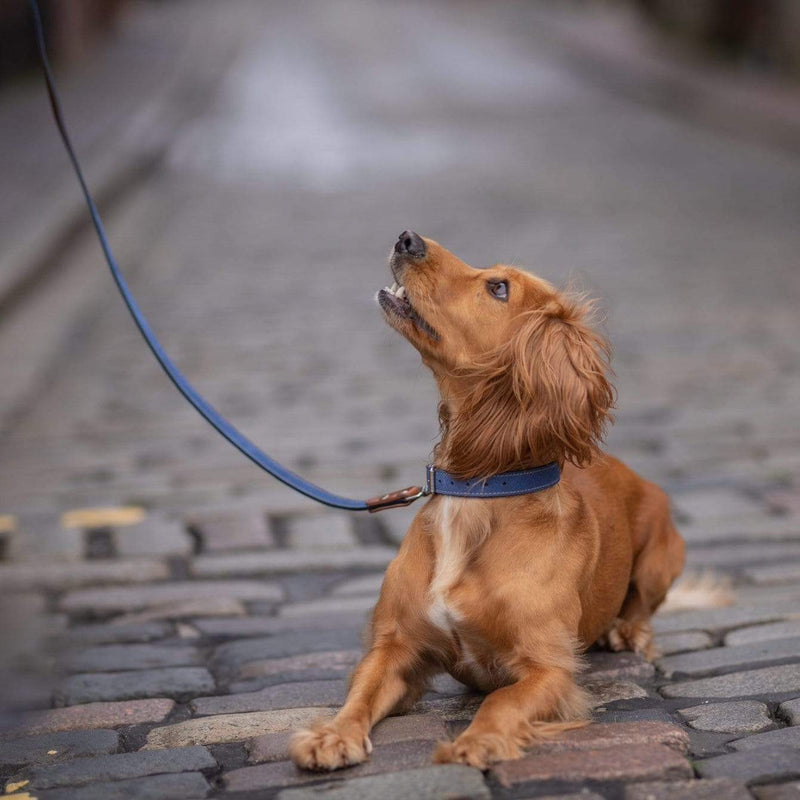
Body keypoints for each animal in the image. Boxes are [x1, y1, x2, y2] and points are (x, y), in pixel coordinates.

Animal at [290, 230, 684, 768]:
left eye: (499, 288)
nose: (406, 238)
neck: (476, 494)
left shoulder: (550, 669)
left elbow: (502, 699)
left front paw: (478, 740)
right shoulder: (396, 646)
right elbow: (359, 693)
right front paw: (332, 735)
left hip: (663, 555)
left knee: (642, 606)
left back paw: (625, 632)